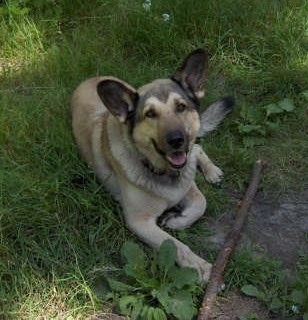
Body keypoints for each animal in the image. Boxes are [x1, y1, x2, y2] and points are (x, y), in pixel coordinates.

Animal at [70, 48, 233, 282]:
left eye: (181, 107)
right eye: (150, 114)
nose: (177, 140)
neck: (162, 170)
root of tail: (89, 80)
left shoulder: (187, 186)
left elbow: (201, 203)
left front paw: (176, 221)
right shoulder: (140, 221)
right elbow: (175, 245)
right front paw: (200, 267)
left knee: (197, 148)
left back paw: (211, 171)